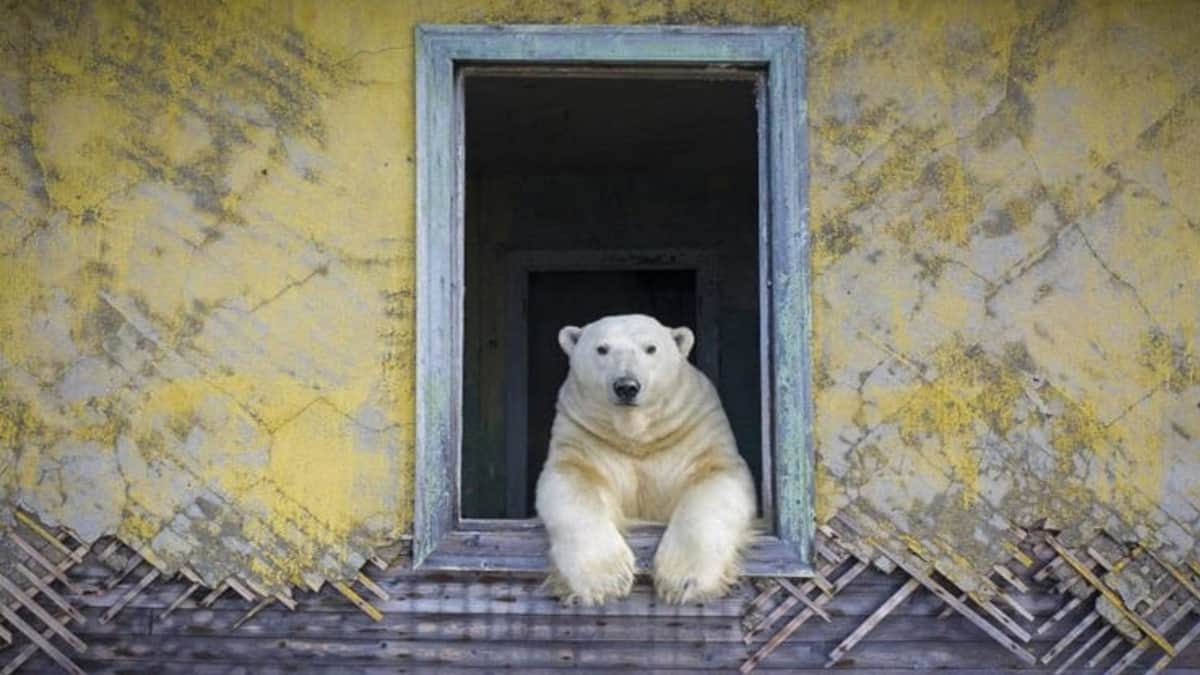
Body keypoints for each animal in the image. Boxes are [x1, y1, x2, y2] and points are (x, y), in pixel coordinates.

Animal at [535, 313, 757, 605]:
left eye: (651, 348)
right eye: (602, 349)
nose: (626, 386)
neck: (636, 437)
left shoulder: (695, 429)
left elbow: (716, 480)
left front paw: (683, 581)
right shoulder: (583, 436)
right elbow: (571, 482)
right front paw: (605, 580)